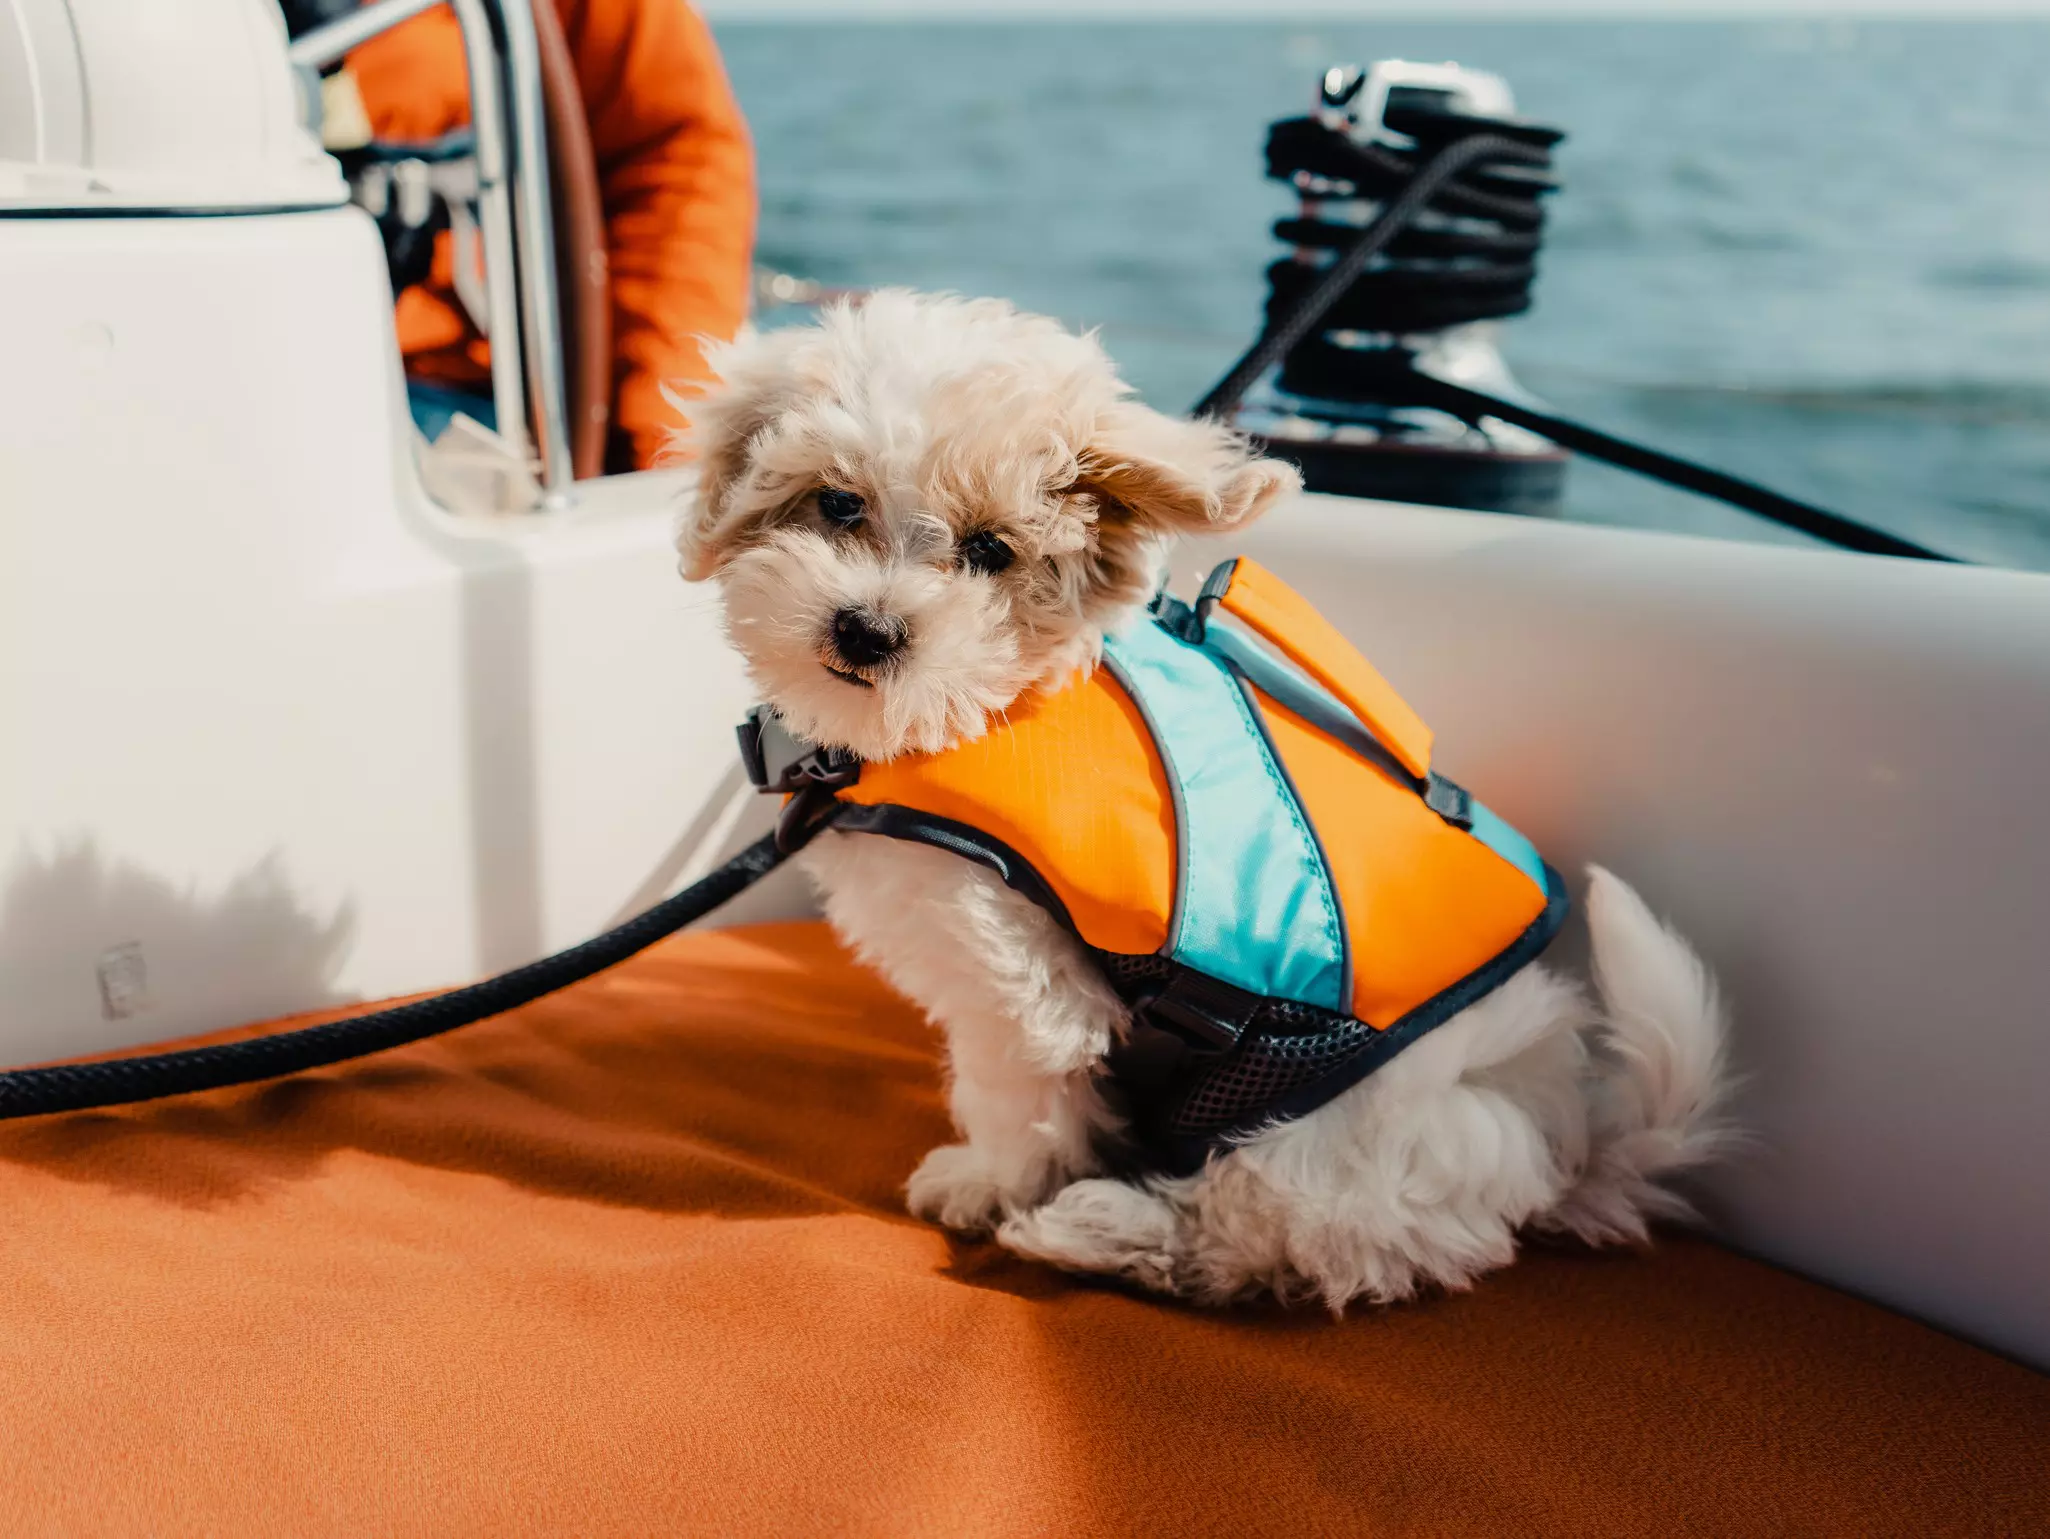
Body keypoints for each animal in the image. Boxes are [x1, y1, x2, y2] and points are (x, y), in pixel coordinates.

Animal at [676, 290, 1730, 1311]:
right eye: (838, 502)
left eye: (990, 550)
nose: (867, 629)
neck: (992, 708)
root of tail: (1565, 1143)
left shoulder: (1021, 976)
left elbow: (1017, 1087)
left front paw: (988, 1182)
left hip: (1315, 1124)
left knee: (1272, 1242)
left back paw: (1099, 1229)